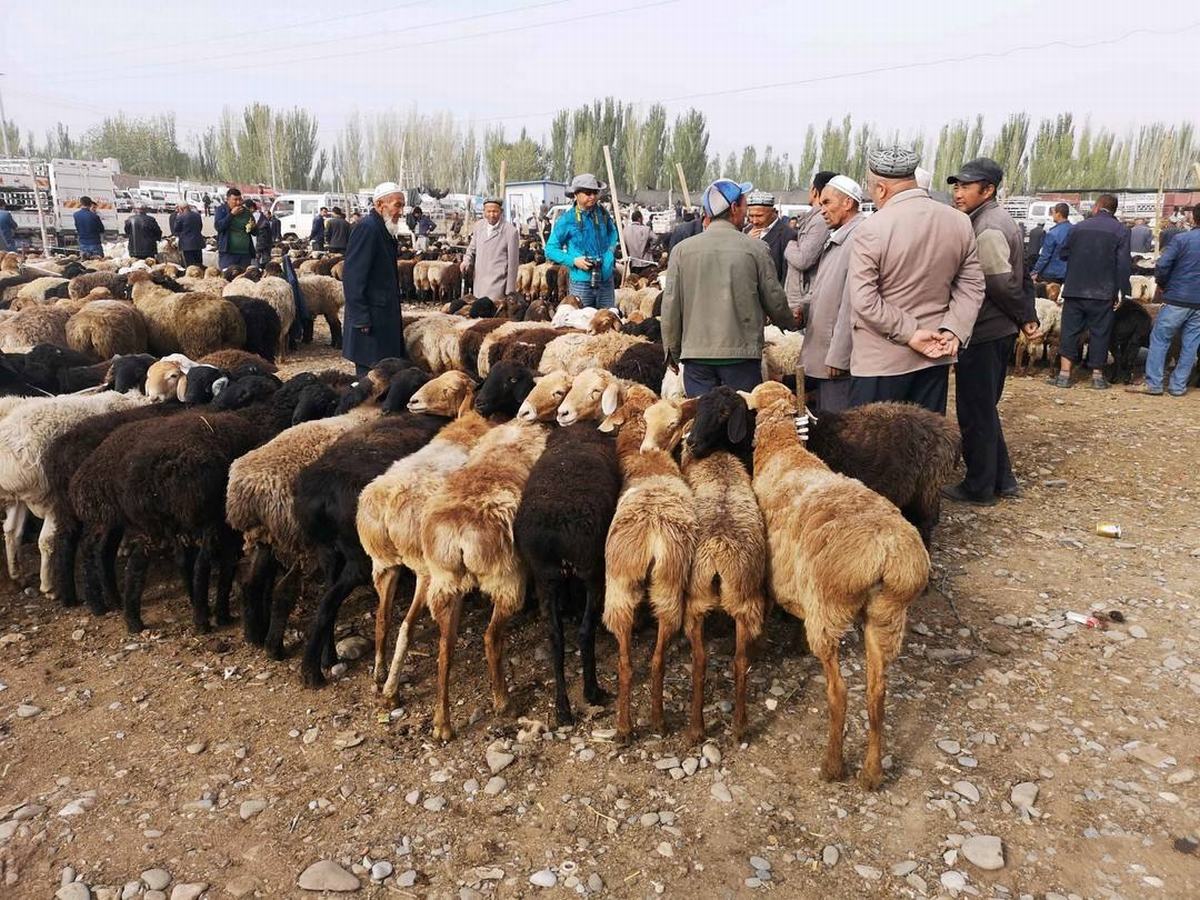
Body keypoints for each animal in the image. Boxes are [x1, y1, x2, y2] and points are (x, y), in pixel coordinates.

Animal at [511, 422, 619, 724]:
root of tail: (556, 532)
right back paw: (592, 691)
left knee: (555, 639)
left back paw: (562, 708)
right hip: (592, 571)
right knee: (584, 632)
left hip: (545, 579)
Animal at [739, 384, 926, 792]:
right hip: (886, 616)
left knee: (839, 693)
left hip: (828, 609)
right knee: (876, 692)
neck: (784, 452)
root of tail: (884, 553)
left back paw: (832, 765)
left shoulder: (771, 575)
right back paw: (871, 773)